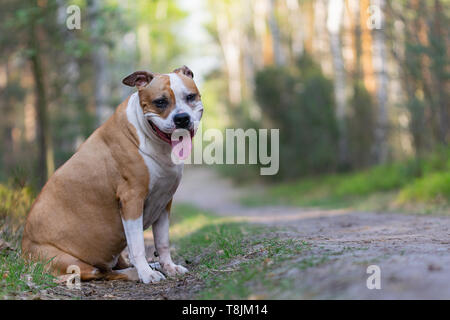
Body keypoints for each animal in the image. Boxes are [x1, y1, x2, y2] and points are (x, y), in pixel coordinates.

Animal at [21, 65, 204, 282]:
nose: (182, 118)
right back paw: (136, 272)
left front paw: (169, 266)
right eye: (160, 102)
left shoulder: (164, 202)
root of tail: (22, 252)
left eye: (190, 97)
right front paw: (146, 274)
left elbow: (163, 241)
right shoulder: (131, 200)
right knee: (102, 272)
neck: (149, 137)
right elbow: (137, 245)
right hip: (69, 261)